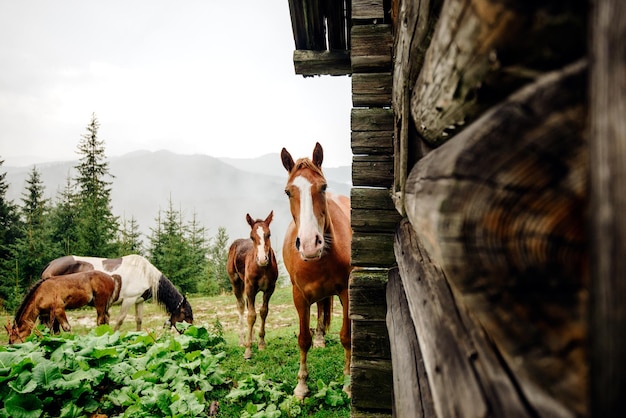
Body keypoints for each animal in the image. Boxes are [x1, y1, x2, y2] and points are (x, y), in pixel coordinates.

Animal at [40, 253, 191, 332]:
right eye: (186, 314)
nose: (190, 331)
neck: (144, 273)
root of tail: (50, 265)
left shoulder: (139, 301)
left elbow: (139, 320)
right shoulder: (128, 300)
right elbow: (120, 320)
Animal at [227, 212, 278, 360]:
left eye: (269, 234)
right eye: (252, 237)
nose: (262, 259)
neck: (263, 269)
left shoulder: (270, 289)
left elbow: (263, 312)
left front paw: (261, 343)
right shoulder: (250, 288)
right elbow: (251, 316)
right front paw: (248, 350)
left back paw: (253, 338)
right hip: (236, 282)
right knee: (241, 306)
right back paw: (242, 341)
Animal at [282, 143, 354, 398]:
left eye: (323, 187)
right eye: (288, 192)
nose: (310, 244)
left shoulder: (347, 291)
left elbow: (346, 337)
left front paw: (348, 382)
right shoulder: (299, 296)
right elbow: (304, 339)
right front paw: (301, 385)